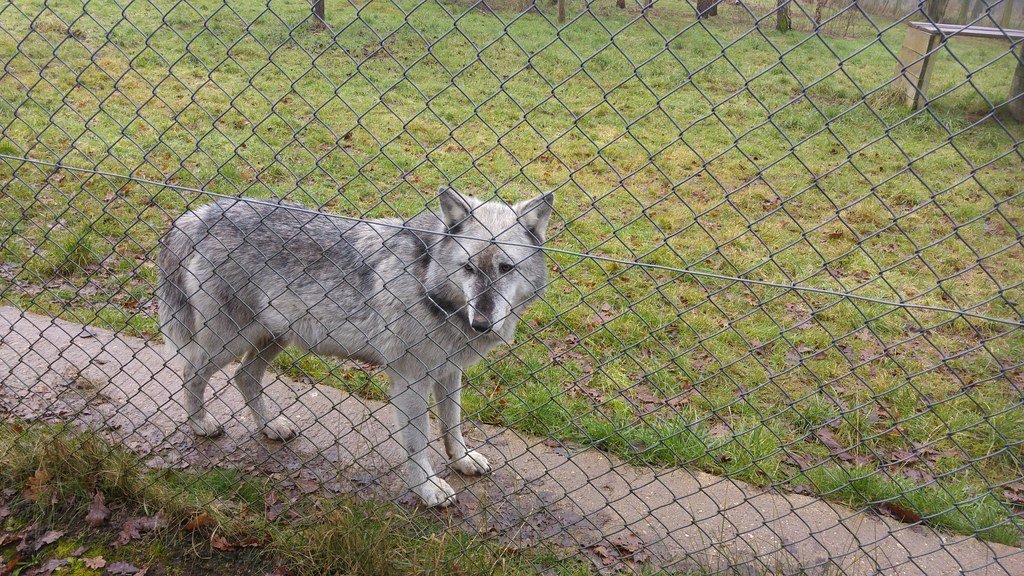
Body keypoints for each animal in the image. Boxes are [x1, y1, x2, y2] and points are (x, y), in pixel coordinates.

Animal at [157, 187, 553, 506]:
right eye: (468, 268)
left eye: (505, 268)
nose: (482, 324)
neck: (428, 282)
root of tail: (201, 213)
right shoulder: (410, 382)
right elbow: (419, 443)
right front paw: (427, 489)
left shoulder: (448, 373)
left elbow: (452, 426)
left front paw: (462, 460)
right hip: (226, 341)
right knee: (191, 373)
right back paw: (201, 425)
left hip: (271, 339)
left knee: (244, 377)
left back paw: (271, 427)